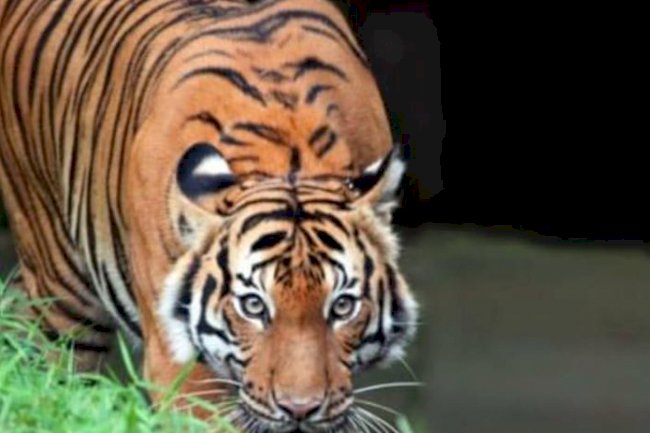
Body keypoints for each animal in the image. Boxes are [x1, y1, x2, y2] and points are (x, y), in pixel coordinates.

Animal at [0, 0, 418, 431]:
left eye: (342, 306)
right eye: (253, 306)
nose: (299, 409)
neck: (289, 156)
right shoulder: (178, 363)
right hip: (61, 295)